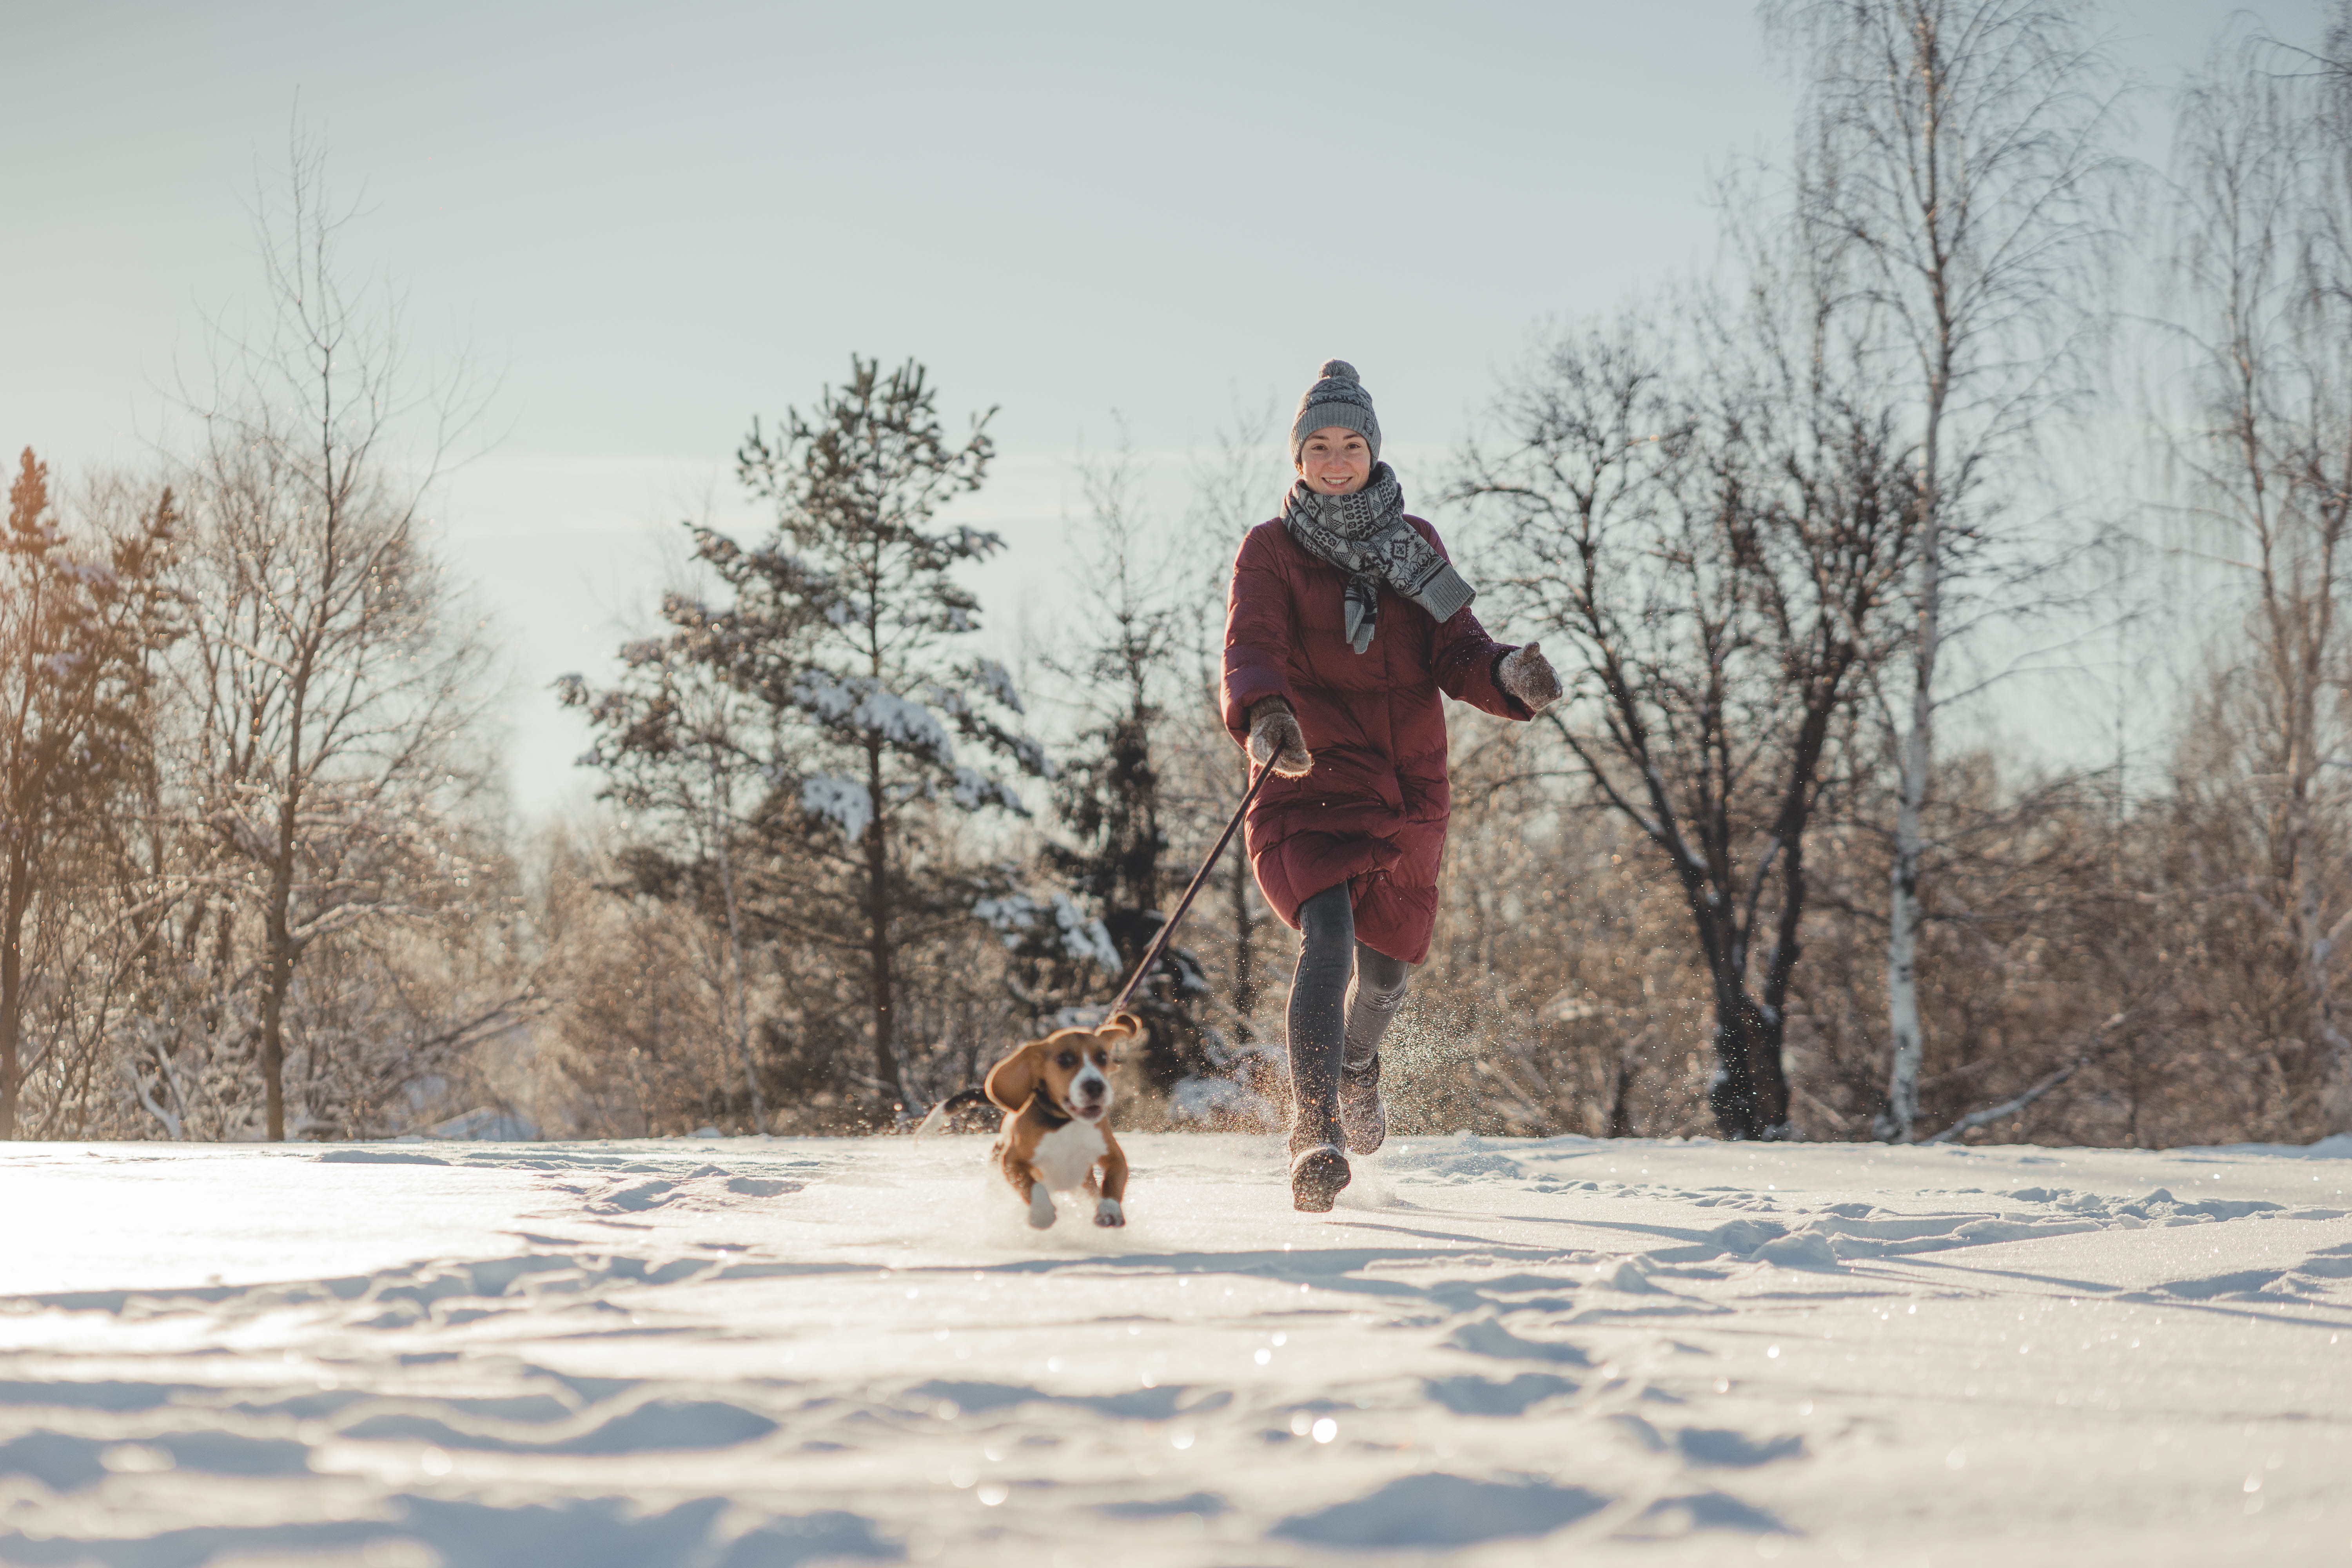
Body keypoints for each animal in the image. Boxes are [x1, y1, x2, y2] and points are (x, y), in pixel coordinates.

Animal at [983, 1020, 1138, 1222]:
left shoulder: (1113, 1155)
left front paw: (1109, 1211)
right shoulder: (1012, 1161)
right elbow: (1034, 1187)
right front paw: (1043, 1212)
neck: (1067, 1124)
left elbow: (1113, 1182)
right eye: (1065, 1060)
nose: (1095, 1086)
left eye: (1103, 1057)